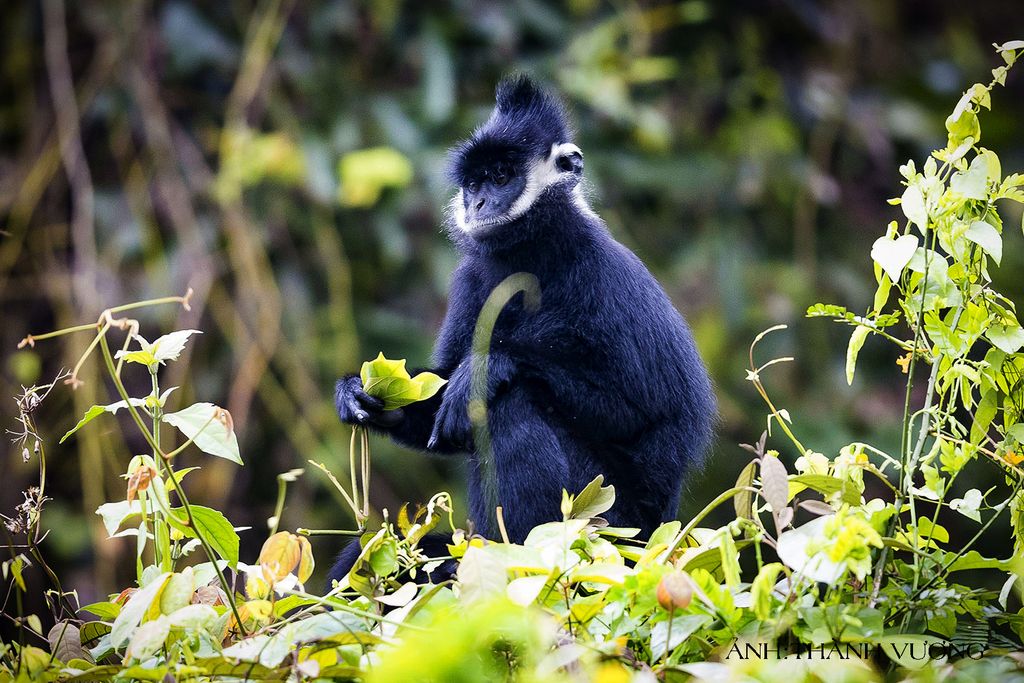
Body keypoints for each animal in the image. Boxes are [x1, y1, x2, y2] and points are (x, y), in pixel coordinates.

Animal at [331, 77, 716, 581]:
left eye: (501, 176)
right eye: (473, 182)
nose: (477, 203)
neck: (531, 255)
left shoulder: (602, 272)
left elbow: (639, 411)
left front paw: (492, 363)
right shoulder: (472, 279)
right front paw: (358, 393)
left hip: (616, 520)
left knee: (513, 401)